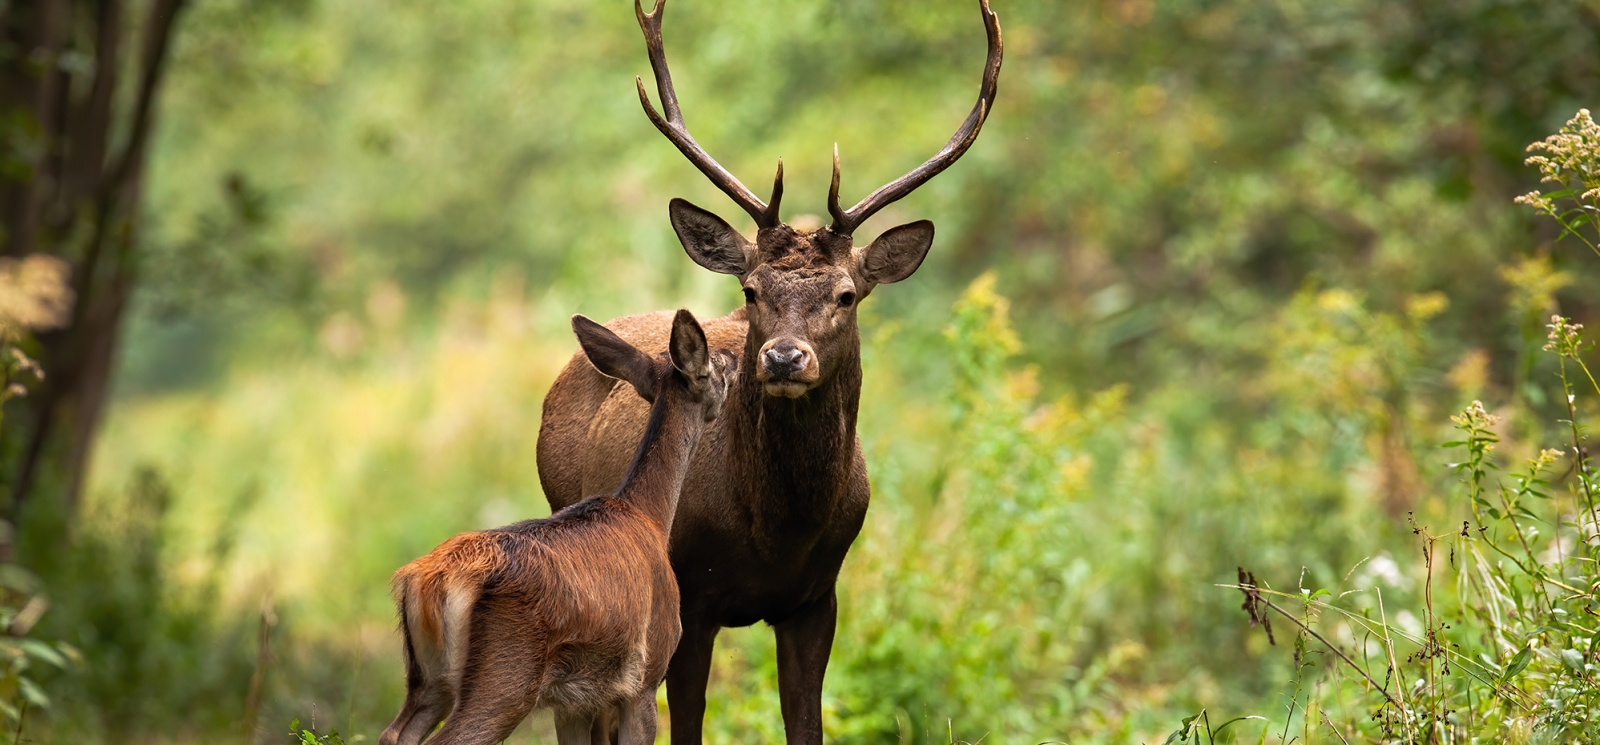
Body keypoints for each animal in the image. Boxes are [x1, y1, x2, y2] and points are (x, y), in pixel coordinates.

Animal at [377, 308, 729, 745]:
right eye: (717, 366)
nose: (735, 361)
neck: (649, 515)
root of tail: (428, 583)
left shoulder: (572, 700)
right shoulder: (646, 676)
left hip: (427, 679)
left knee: (394, 732)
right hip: (505, 676)